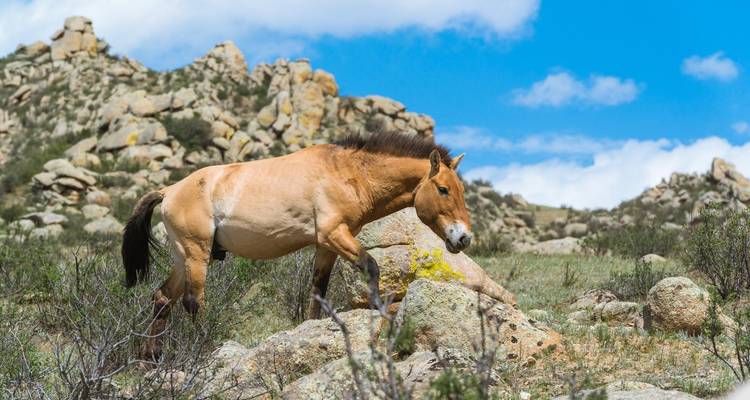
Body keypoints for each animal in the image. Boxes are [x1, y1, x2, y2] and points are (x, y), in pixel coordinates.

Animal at [122, 131, 473, 359]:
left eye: (460, 190)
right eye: (443, 189)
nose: (463, 238)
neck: (348, 173)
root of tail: (169, 190)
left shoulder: (326, 245)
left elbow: (317, 291)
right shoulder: (335, 235)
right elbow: (371, 268)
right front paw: (379, 316)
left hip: (183, 257)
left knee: (162, 298)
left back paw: (151, 358)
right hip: (196, 254)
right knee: (193, 302)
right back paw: (202, 348)